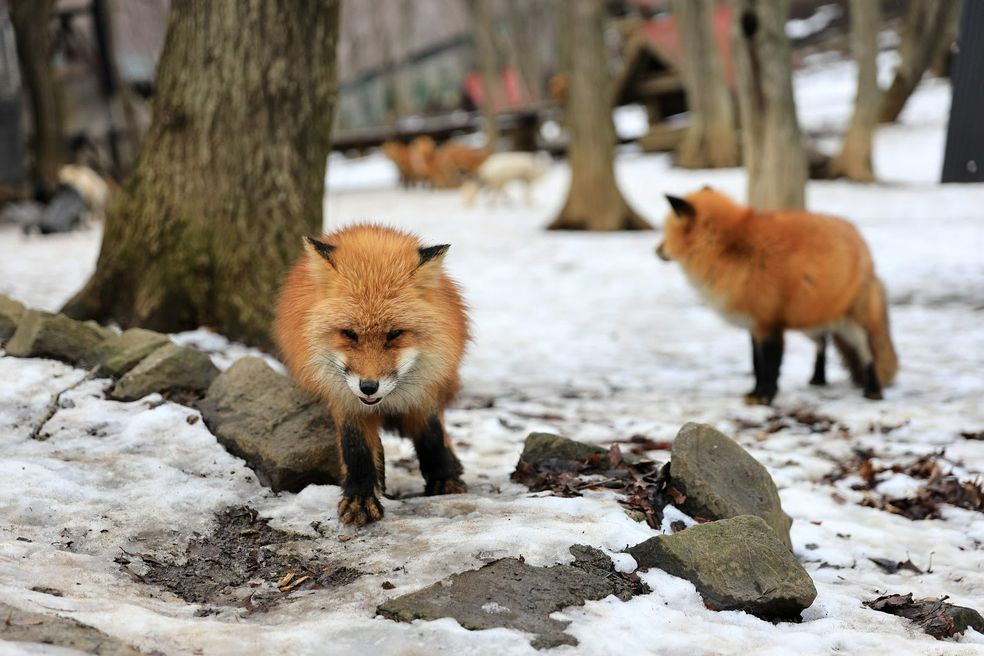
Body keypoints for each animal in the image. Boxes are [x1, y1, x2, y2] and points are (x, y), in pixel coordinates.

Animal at [270, 223, 468, 524]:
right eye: (349, 334)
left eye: (394, 334)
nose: (369, 387)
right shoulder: (345, 399)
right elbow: (356, 449)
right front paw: (361, 498)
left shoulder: (423, 394)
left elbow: (432, 437)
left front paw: (445, 479)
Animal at [652, 188, 900, 404]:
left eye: (666, 233)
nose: (656, 250)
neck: (734, 250)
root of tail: (862, 242)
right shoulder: (754, 324)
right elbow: (757, 364)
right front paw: (755, 393)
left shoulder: (769, 323)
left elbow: (770, 365)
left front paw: (765, 396)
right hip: (810, 320)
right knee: (823, 342)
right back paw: (818, 379)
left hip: (852, 325)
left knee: (868, 354)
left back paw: (873, 390)